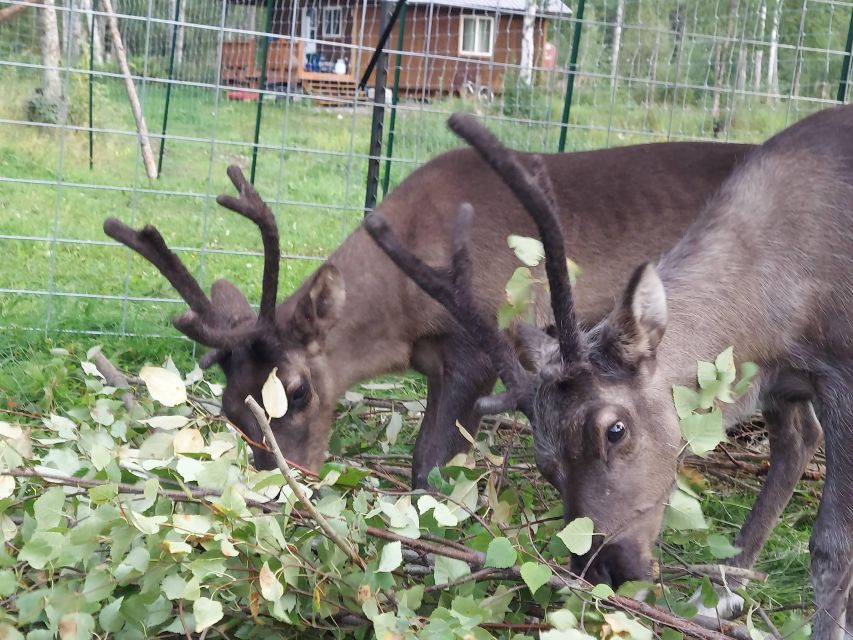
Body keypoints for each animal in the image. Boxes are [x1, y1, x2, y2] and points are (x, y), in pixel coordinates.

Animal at [103, 134, 753, 489]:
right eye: (230, 405)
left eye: (300, 390)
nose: (286, 480)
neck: (403, 316)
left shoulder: (478, 347)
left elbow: (431, 463)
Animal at [365, 106, 853, 637]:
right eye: (545, 462)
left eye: (614, 430)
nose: (605, 569)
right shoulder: (780, 375)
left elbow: (832, 544)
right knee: (800, 439)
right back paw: (721, 595)